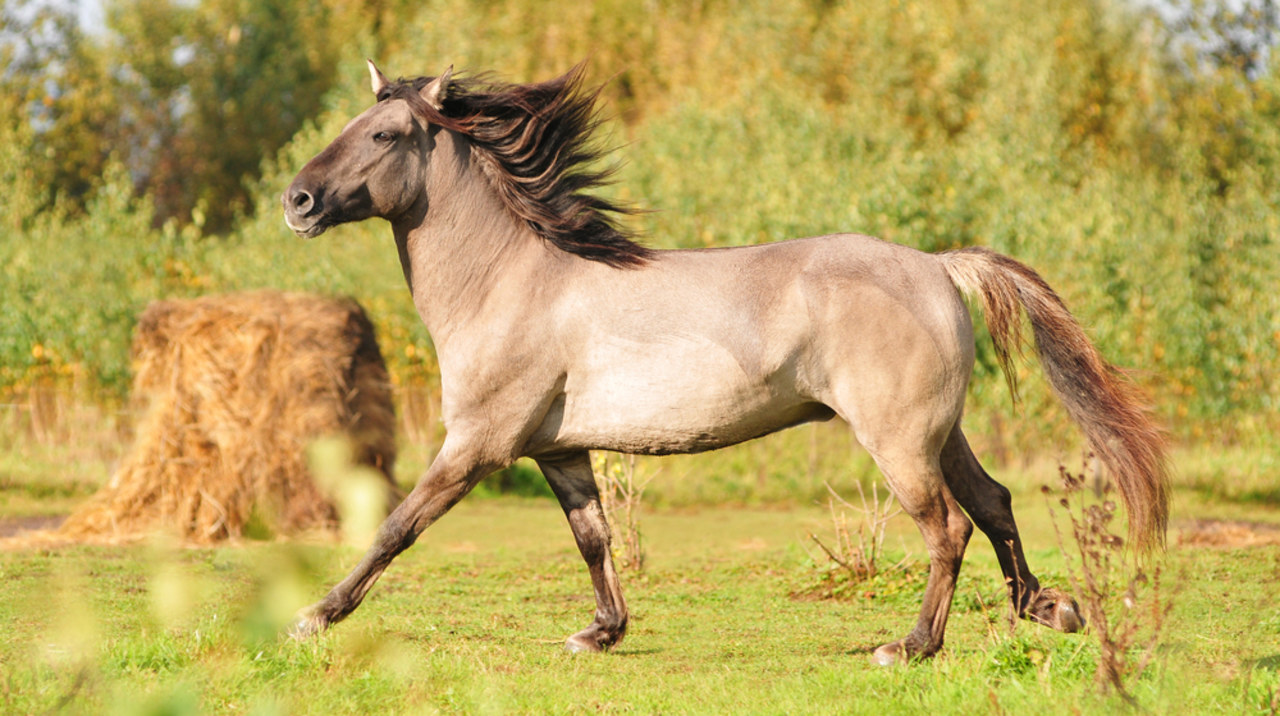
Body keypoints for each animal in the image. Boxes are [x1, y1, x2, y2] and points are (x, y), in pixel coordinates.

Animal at [282, 63, 1172, 666]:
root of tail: (936, 266)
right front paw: (602, 633)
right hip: (939, 432)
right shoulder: (558, 450)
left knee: (947, 526)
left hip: (897, 439)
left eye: (384, 135)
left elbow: (395, 527)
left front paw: (314, 617)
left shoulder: (476, 445)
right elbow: (594, 539)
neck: (511, 282)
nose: (297, 201)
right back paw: (1049, 609)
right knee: (993, 503)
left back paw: (911, 645)